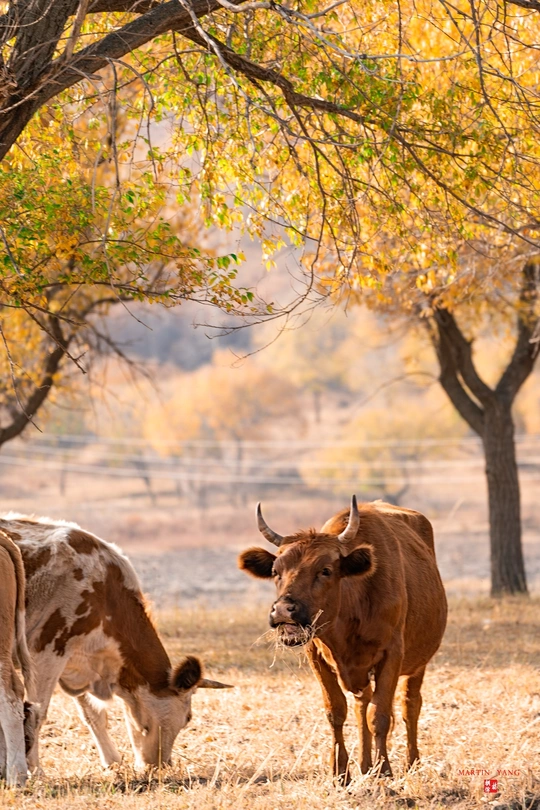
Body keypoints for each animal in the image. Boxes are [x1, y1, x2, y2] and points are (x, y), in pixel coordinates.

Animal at [0, 514, 231, 773]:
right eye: (188, 717)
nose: (160, 765)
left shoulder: (75, 660)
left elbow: (93, 715)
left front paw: (111, 761)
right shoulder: (48, 650)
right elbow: (36, 712)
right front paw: (34, 768)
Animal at [238, 497, 447, 781]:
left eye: (325, 570)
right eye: (275, 570)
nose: (283, 610)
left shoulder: (392, 654)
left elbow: (379, 715)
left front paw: (384, 771)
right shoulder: (316, 655)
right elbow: (336, 711)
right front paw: (341, 772)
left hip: (419, 663)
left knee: (409, 704)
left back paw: (411, 763)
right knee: (362, 704)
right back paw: (365, 764)